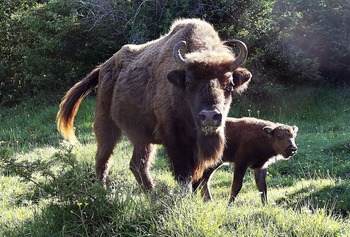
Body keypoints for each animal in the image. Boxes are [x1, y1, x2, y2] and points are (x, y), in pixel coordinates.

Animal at [56, 18, 252, 193]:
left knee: (137, 165)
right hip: (106, 125)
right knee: (103, 159)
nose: (210, 116)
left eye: (229, 84)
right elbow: (184, 174)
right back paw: (104, 192)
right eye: (189, 83)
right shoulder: (174, 139)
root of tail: (103, 67)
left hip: (142, 137)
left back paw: (151, 195)